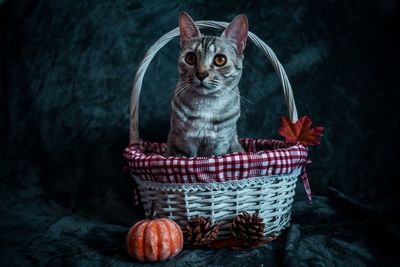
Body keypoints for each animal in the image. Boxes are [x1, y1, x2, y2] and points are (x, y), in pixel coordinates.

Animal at [165, 12, 247, 158]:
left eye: (220, 60)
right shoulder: (181, 144)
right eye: (190, 58)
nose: (201, 74)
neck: (206, 105)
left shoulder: (220, 147)